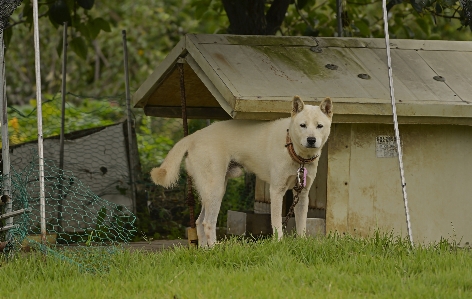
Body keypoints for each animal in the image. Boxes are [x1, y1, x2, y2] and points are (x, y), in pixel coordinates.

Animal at [151, 96, 332, 248]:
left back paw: (204, 250)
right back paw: (215, 249)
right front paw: (279, 243)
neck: (294, 151)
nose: (311, 140)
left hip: (210, 191)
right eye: (302, 125)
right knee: (208, 222)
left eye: (319, 126)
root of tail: (194, 136)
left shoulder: (302, 194)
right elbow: (277, 223)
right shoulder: (276, 191)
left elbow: (302, 224)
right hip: (216, 189)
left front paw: (302, 242)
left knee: (199, 221)